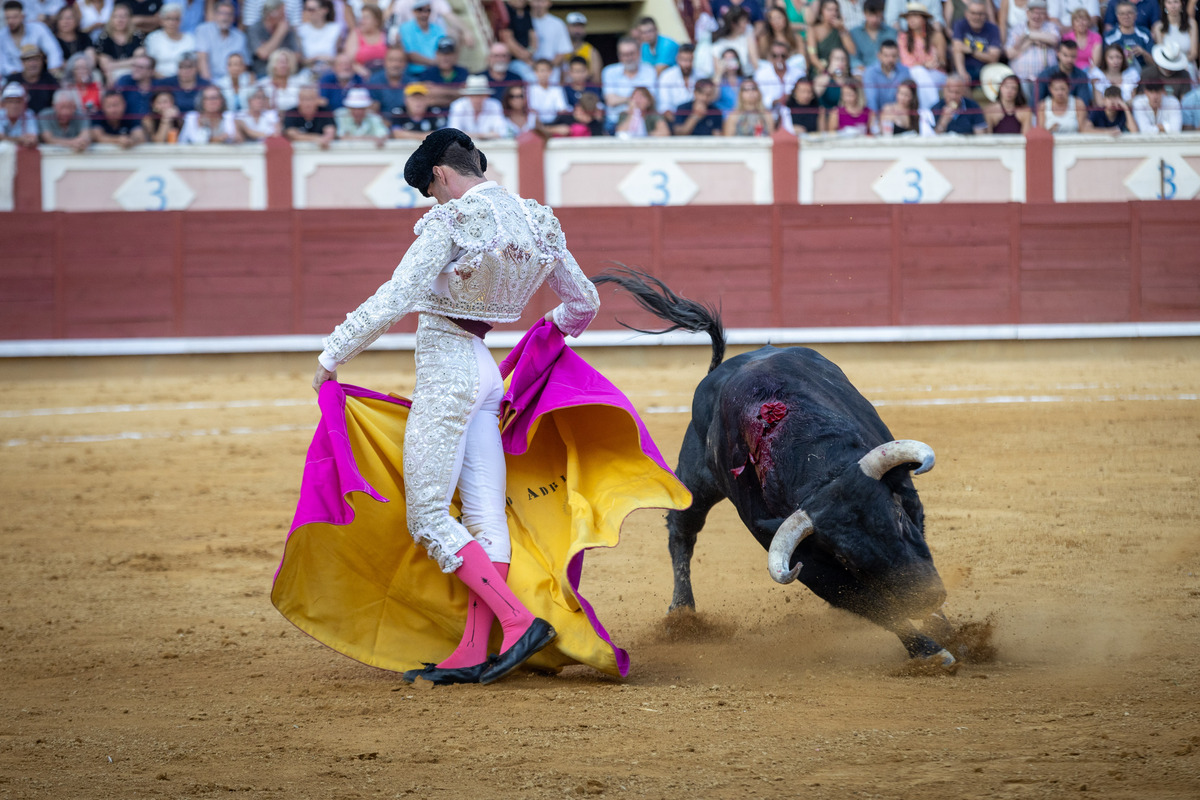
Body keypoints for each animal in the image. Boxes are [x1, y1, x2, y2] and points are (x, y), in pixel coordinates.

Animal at [597, 268, 955, 671]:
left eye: (897, 518)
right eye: (845, 556)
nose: (927, 598)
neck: (815, 457)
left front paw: (940, 624)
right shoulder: (811, 565)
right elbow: (876, 607)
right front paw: (930, 650)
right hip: (694, 480)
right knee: (682, 531)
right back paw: (682, 615)